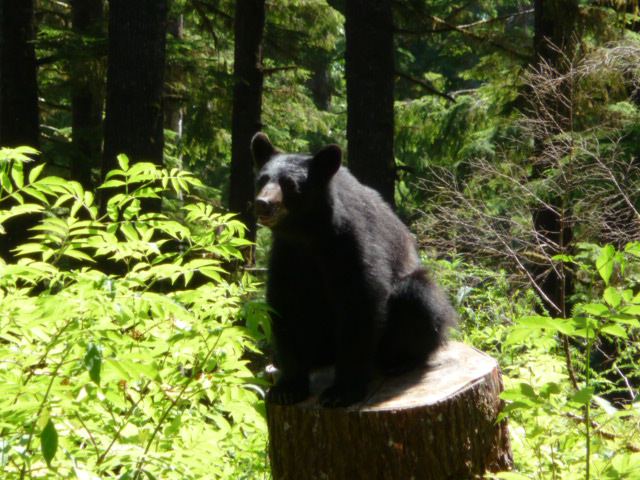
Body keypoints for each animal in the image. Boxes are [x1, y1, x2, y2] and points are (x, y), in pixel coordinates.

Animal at [250, 133, 456, 406]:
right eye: (262, 179)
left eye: (290, 184)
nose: (262, 203)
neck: (309, 236)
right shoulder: (287, 256)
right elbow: (285, 308)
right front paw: (287, 388)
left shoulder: (352, 245)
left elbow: (360, 306)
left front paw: (342, 391)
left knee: (419, 298)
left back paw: (401, 360)